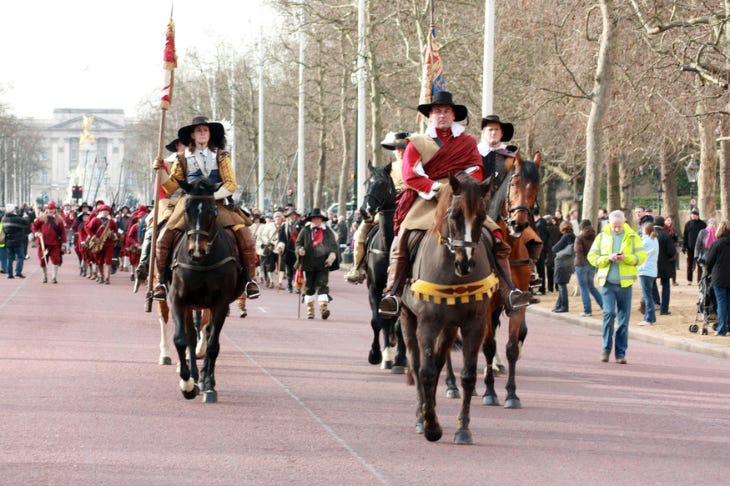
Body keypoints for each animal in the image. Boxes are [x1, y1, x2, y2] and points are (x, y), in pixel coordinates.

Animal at [166, 178, 243, 402]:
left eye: (211, 210)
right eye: (187, 209)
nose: (197, 250)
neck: (201, 263)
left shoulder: (220, 303)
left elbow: (212, 344)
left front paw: (208, 384)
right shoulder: (178, 300)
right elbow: (181, 339)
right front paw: (187, 384)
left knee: (208, 334)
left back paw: (205, 378)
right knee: (193, 335)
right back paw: (194, 376)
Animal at [398, 172, 494, 444]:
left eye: (481, 216)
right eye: (455, 215)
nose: (465, 264)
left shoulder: (474, 324)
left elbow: (468, 375)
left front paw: (463, 428)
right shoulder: (427, 322)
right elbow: (426, 371)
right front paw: (430, 425)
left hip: (450, 328)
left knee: (440, 362)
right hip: (408, 319)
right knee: (417, 363)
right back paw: (421, 416)